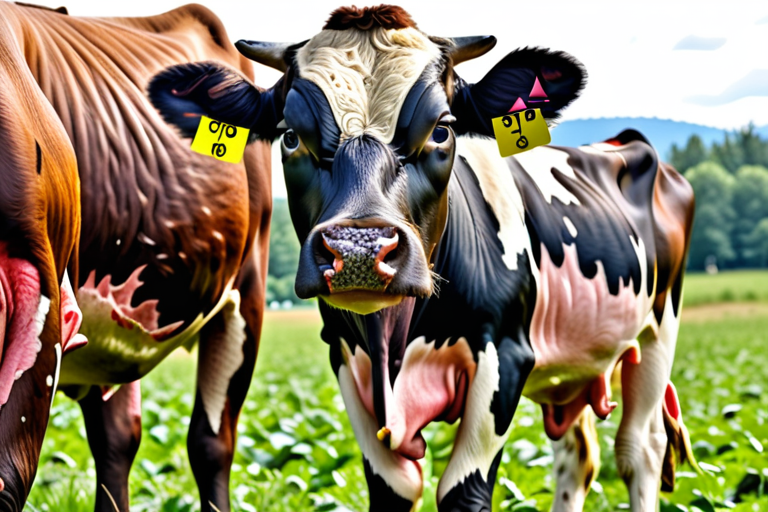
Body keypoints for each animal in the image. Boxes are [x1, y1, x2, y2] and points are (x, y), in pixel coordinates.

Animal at [147, 5, 696, 511]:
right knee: (577, 456)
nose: (361, 248)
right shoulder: (346, 359)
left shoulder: (505, 356)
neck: (394, 343)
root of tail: (622, 141)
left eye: (442, 129)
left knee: (640, 449)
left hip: (659, 330)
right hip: (570, 365)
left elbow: (463, 491)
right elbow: (392, 488)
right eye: (289, 135)